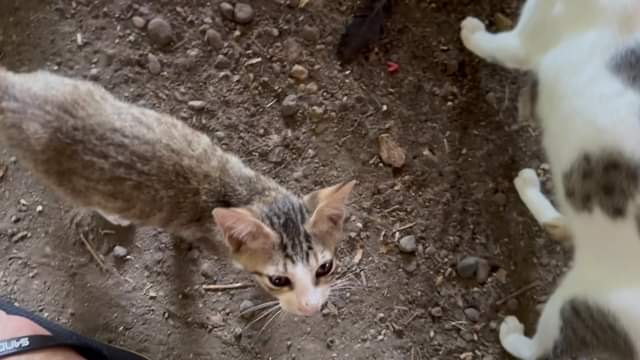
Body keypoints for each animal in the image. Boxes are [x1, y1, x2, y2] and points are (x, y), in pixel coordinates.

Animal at [462, 0, 640, 358]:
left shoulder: (524, 40)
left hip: (583, 300)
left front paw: (471, 33)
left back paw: (513, 335)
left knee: (542, 351)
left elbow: (495, 46)